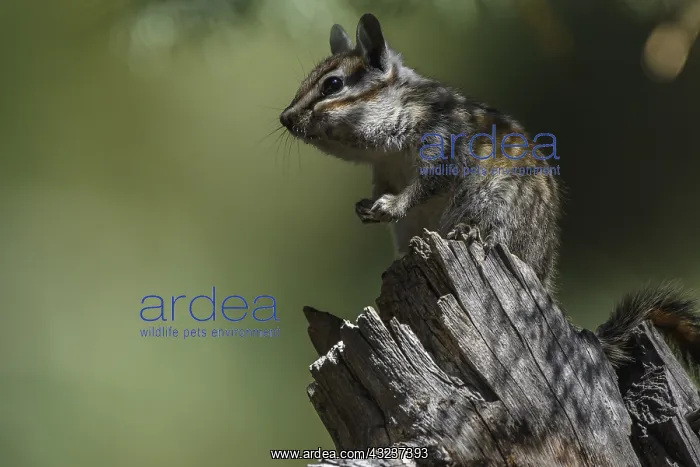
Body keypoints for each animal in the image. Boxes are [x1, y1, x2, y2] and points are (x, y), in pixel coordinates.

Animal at [279, 13, 700, 370]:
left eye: (333, 84)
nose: (285, 118)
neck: (389, 143)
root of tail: (542, 275)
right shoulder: (383, 170)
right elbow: (385, 189)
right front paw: (366, 208)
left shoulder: (443, 144)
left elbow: (425, 186)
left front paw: (391, 206)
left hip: (493, 204)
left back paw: (469, 231)